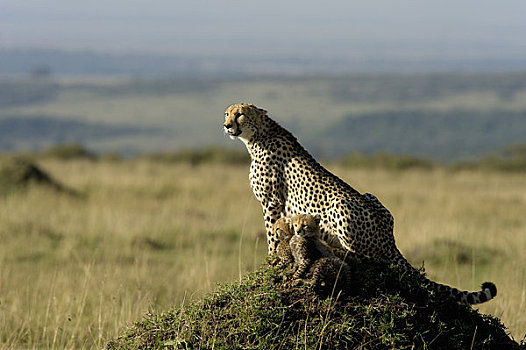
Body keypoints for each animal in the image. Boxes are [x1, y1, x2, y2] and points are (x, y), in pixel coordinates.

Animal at [224, 103, 500, 304]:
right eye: (227, 113)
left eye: (240, 114)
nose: (226, 125)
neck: (258, 136)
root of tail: (390, 239)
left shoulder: (271, 202)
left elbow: (271, 234)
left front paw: (270, 260)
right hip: (370, 195)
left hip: (341, 204)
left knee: (364, 257)